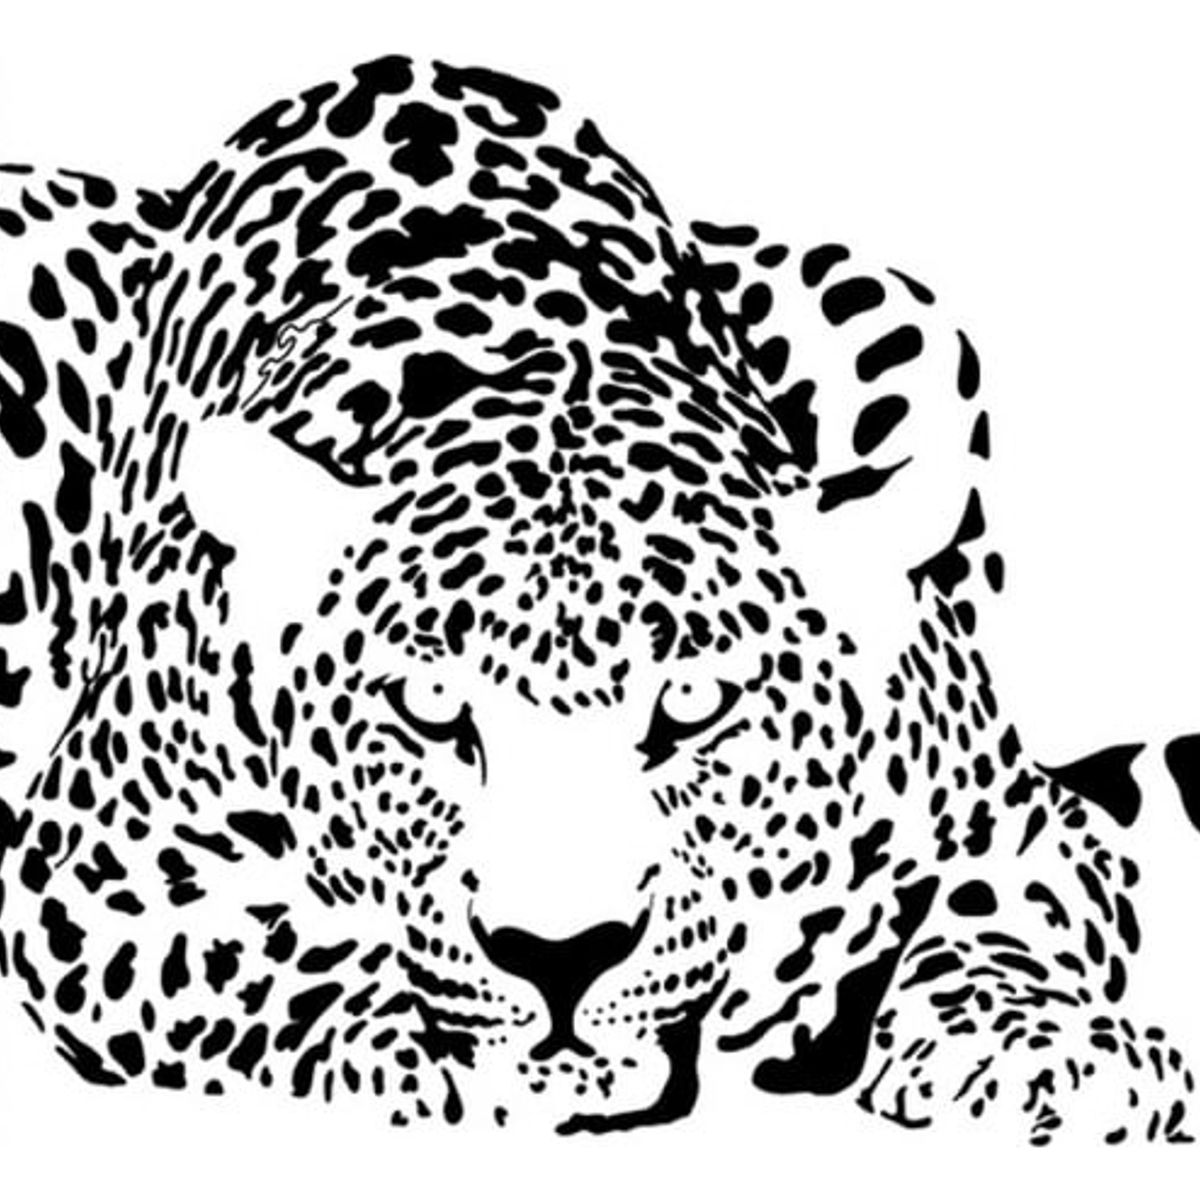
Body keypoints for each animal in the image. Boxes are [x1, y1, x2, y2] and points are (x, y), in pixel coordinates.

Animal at [0, 53, 1191, 1142]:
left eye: (695, 705)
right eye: (430, 707)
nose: (560, 958)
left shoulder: (1021, 819)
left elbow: (1000, 918)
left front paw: (1050, 1051)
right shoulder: (92, 878)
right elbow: (268, 961)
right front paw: (420, 1052)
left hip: (898, 315)